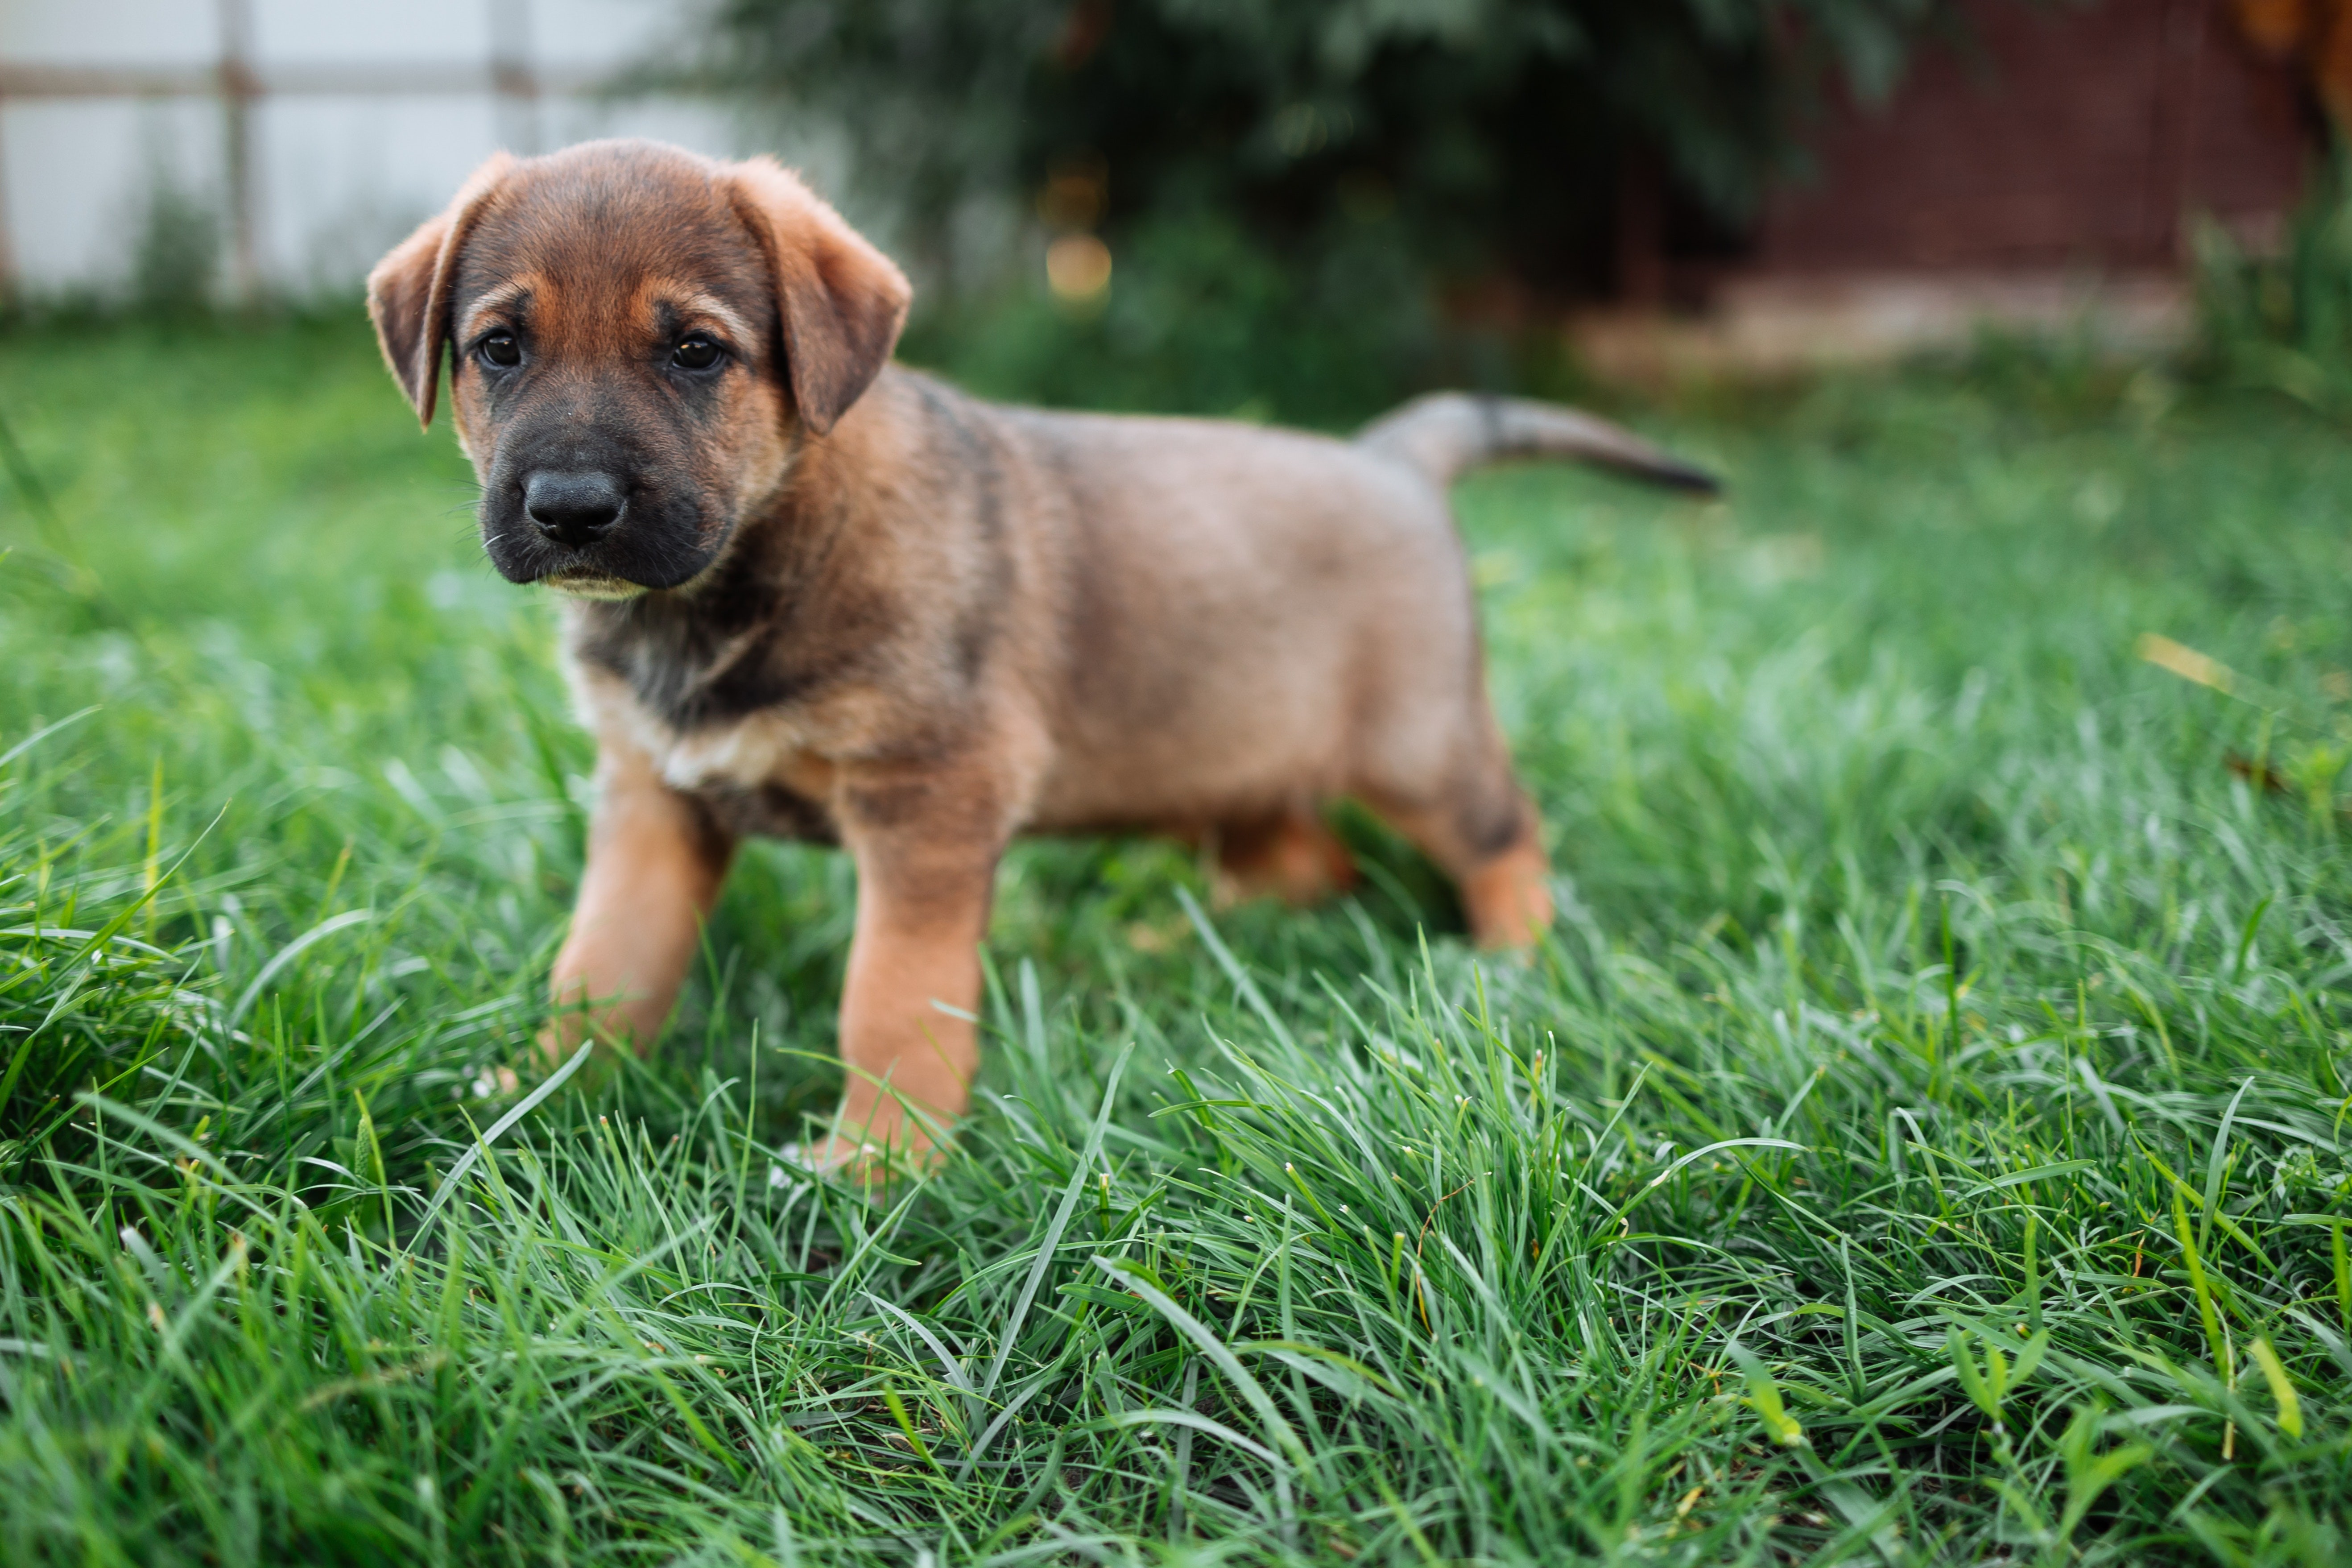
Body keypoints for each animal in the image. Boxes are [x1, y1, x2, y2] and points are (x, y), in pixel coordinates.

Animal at [367, 141, 1721, 1161]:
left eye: (696, 352)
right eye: (500, 348)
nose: (571, 509)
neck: (744, 575)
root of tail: (1393, 458)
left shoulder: (926, 802)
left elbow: (890, 1001)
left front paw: (880, 1162)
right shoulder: (653, 801)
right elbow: (603, 965)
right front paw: (536, 1094)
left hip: (1419, 750)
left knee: (1504, 835)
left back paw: (1514, 966)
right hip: (1230, 756)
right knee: (1303, 860)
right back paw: (1182, 941)